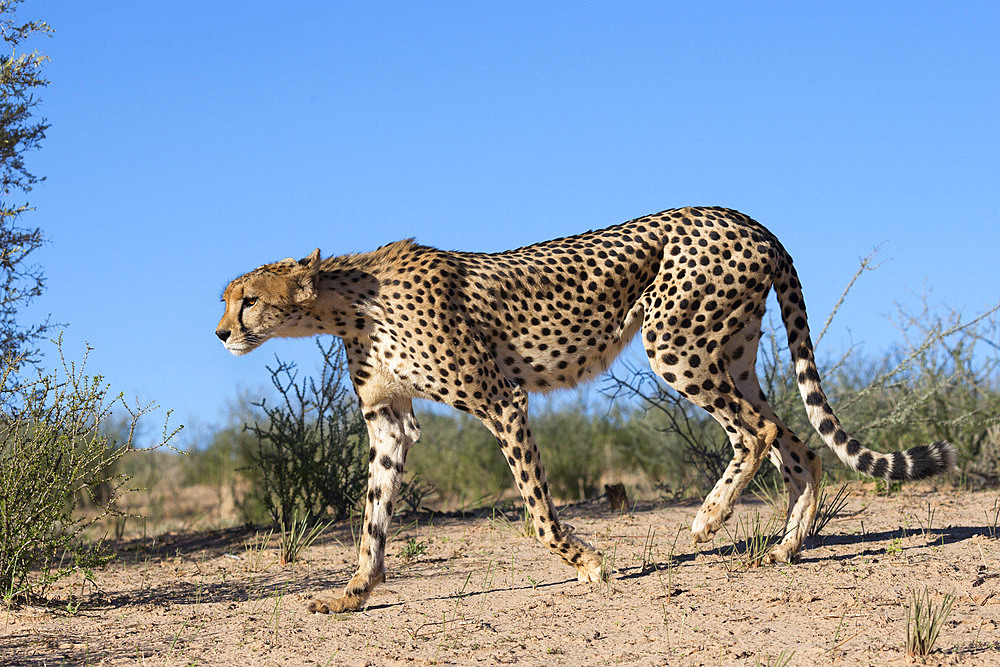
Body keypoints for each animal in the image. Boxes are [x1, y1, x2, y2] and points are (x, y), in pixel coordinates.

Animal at [217, 206, 952, 612]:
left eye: (247, 299)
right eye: (229, 300)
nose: (221, 333)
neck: (347, 302)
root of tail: (744, 216)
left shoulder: (501, 399)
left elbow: (538, 515)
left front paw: (589, 563)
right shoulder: (389, 424)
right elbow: (371, 520)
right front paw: (352, 594)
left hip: (676, 345)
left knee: (761, 430)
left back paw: (709, 517)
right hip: (733, 354)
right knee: (797, 445)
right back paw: (786, 547)